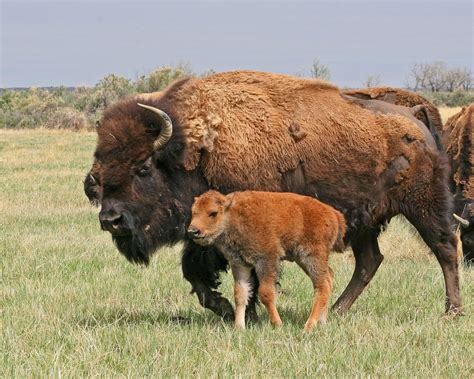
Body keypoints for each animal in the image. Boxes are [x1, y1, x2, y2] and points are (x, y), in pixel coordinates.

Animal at [187, 191, 346, 332]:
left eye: (213, 213)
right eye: (193, 212)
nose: (193, 231)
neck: (233, 214)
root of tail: (334, 215)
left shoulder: (266, 261)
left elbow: (266, 293)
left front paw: (277, 324)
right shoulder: (240, 264)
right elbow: (240, 294)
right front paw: (238, 327)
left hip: (312, 258)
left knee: (322, 287)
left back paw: (308, 327)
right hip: (303, 260)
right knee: (329, 277)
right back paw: (322, 322)